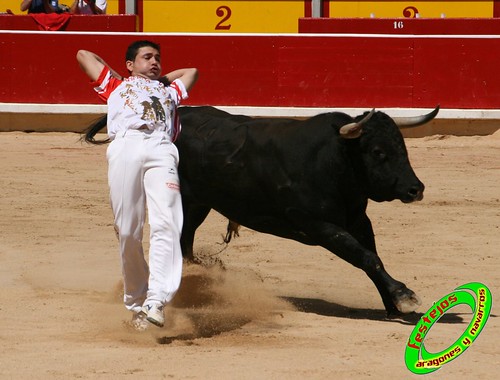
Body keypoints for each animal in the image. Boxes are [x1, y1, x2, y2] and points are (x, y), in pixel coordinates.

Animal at [84, 105, 440, 316]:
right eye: (378, 151)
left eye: (402, 147)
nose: (416, 189)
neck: (336, 160)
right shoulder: (319, 225)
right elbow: (366, 257)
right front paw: (402, 295)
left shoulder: (357, 219)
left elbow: (372, 256)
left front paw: (392, 303)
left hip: (199, 202)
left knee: (186, 241)